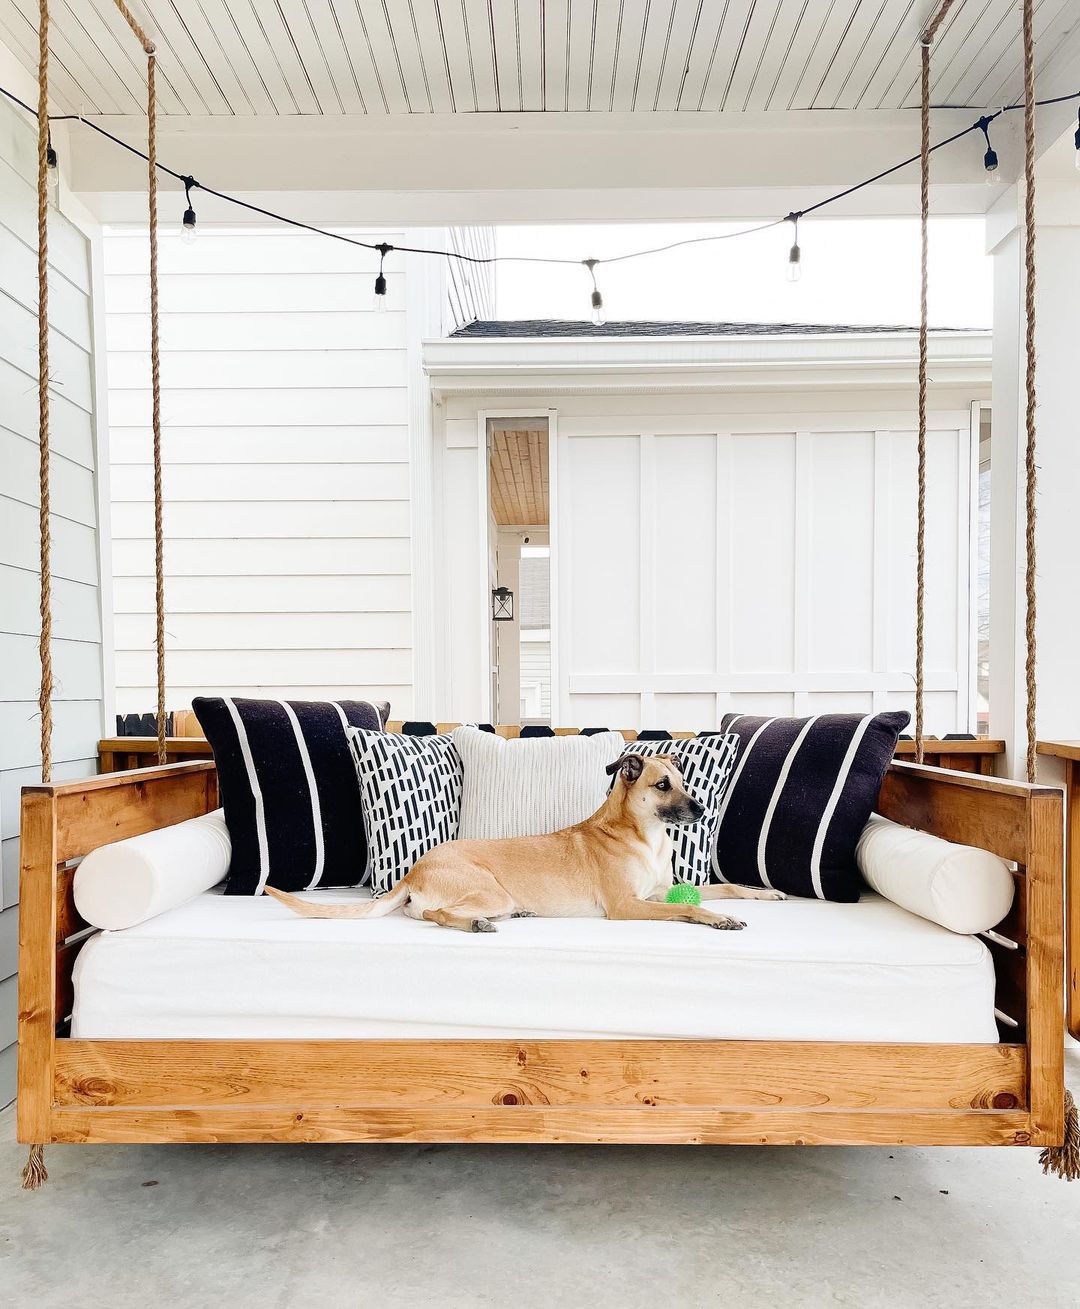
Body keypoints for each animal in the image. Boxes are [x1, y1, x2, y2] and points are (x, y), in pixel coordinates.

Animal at [265, 753, 780, 937]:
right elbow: (690, 907)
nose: (702, 810)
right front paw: (719, 919)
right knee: (437, 914)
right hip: (491, 890)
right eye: (661, 785)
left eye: (683, 780)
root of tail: (413, 872)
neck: (642, 836)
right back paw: (474, 923)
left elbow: (725, 886)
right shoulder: (627, 906)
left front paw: (763, 893)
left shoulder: (658, 891)